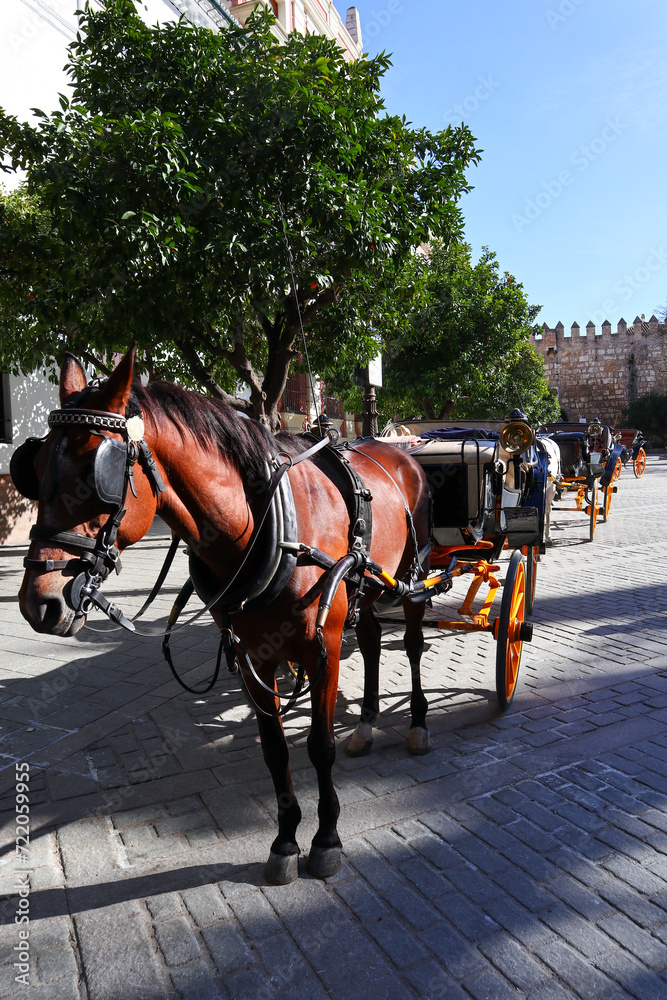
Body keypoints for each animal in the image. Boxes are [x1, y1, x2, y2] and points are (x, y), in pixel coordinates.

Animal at [18, 350, 434, 884]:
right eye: (34, 466)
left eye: (96, 475)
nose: (38, 603)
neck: (267, 527)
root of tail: (399, 452)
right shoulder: (251, 655)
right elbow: (274, 751)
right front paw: (284, 841)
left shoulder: (321, 649)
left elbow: (319, 745)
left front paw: (326, 839)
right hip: (367, 585)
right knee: (371, 638)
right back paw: (365, 725)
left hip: (411, 576)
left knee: (413, 644)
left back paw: (417, 723)